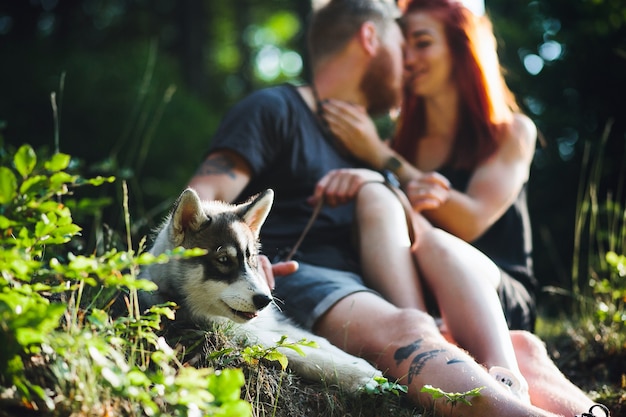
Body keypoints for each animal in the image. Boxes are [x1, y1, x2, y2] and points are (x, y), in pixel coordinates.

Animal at [141, 187, 380, 392]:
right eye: (224, 260)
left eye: (252, 258)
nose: (265, 300)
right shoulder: (238, 334)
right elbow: (295, 350)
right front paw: (357, 375)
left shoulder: (273, 322)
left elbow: (319, 340)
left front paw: (359, 363)